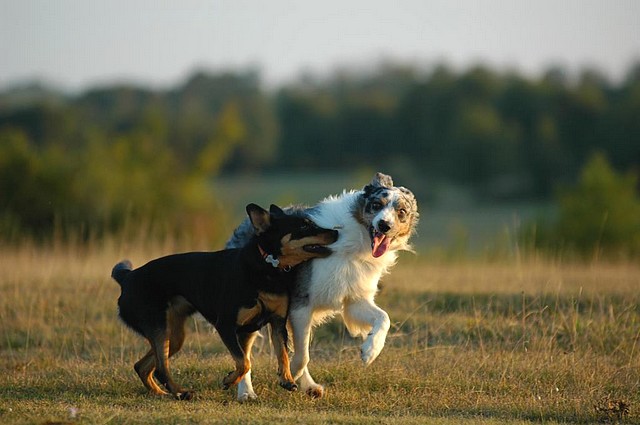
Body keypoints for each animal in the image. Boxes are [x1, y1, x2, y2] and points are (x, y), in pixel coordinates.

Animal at [112, 204, 338, 400]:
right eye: (304, 226)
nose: (336, 232)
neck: (268, 265)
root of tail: (127, 277)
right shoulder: (226, 325)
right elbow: (244, 362)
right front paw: (229, 380)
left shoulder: (276, 324)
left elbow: (280, 354)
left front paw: (287, 380)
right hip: (157, 326)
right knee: (160, 367)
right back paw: (181, 393)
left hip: (173, 335)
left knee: (143, 366)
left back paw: (162, 393)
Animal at [226, 171, 420, 398]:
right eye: (376, 205)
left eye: (401, 212)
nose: (384, 225)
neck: (355, 240)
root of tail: (245, 225)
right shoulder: (301, 303)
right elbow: (302, 355)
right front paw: (290, 373)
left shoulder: (354, 299)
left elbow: (384, 317)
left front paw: (370, 351)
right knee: (245, 355)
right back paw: (246, 392)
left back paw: (309, 386)